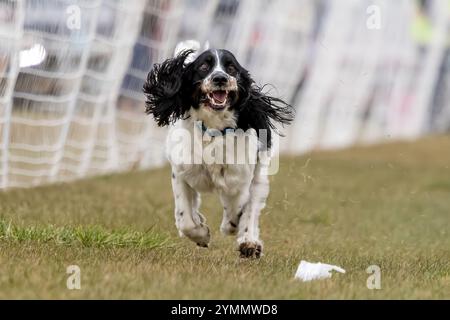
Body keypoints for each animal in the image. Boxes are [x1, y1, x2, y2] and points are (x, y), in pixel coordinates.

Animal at [142, 44, 294, 258]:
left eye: (231, 68)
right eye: (204, 67)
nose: (220, 78)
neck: (213, 130)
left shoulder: (239, 176)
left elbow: (239, 206)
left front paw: (231, 227)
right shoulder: (181, 171)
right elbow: (186, 218)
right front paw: (202, 234)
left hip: (258, 177)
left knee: (251, 206)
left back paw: (248, 243)